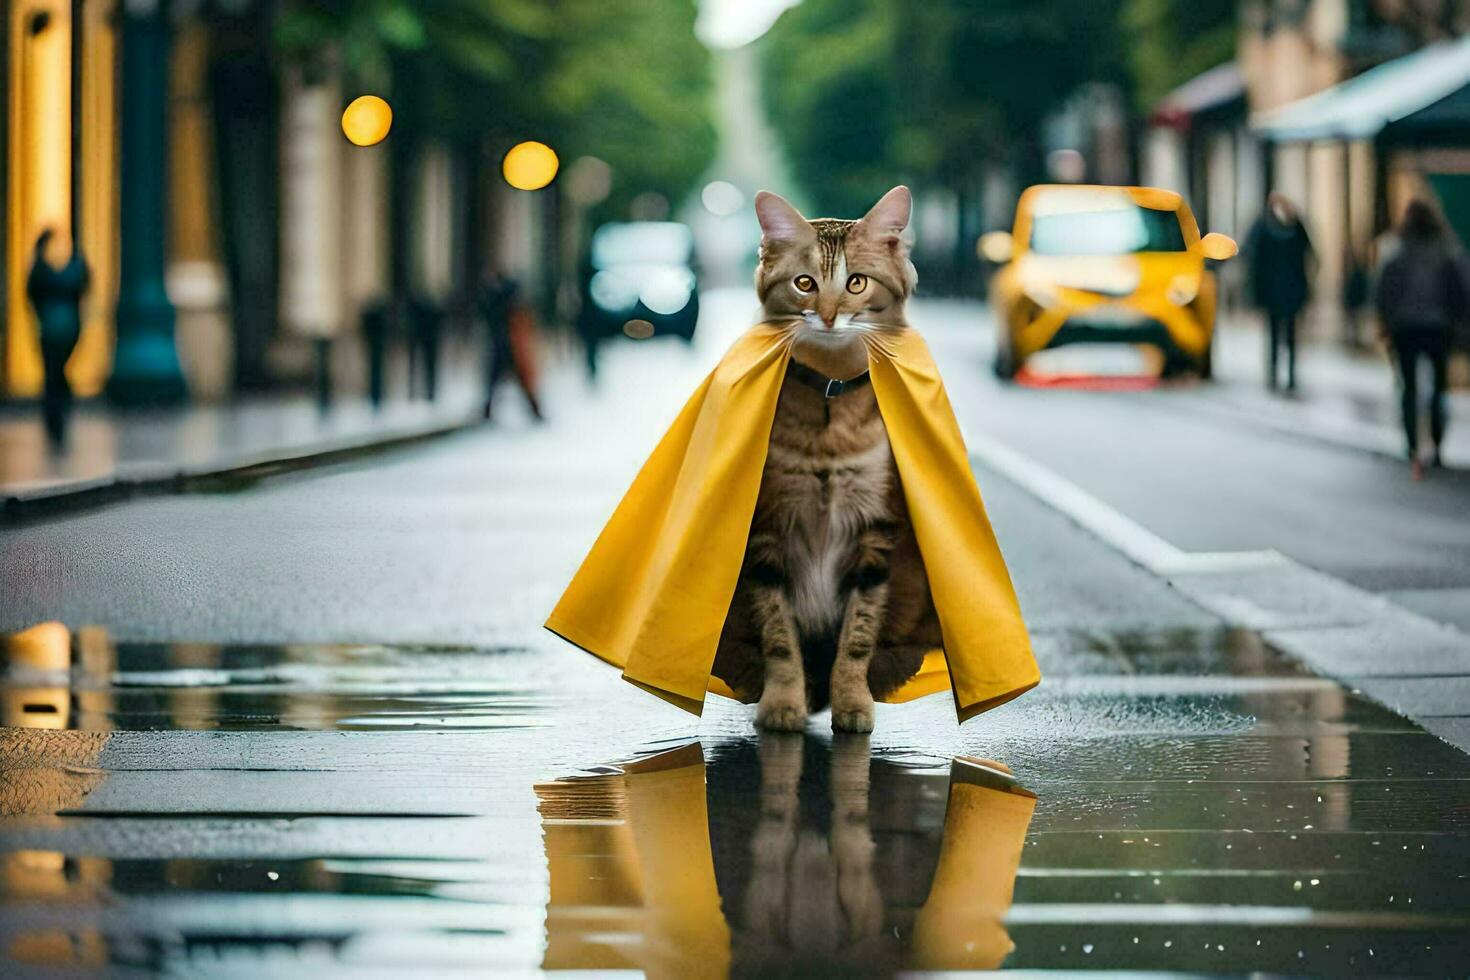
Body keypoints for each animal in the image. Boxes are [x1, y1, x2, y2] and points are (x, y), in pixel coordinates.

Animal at [711, 185, 940, 734]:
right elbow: (778, 635)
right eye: (804, 283)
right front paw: (782, 705)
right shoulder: (768, 527)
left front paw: (853, 704)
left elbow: (857, 637)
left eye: (856, 282)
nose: (831, 316)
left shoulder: (874, 530)